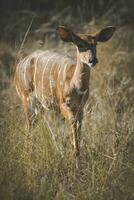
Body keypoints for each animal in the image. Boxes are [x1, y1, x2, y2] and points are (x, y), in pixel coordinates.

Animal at [14, 25, 115, 159]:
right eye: (79, 44)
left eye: (96, 44)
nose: (92, 60)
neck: (76, 87)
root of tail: (19, 66)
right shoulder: (63, 104)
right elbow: (73, 124)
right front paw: (75, 156)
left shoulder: (80, 107)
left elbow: (78, 127)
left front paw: (78, 155)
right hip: (26, 96)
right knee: (27, 125)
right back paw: (28, 154)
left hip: (40, 105)